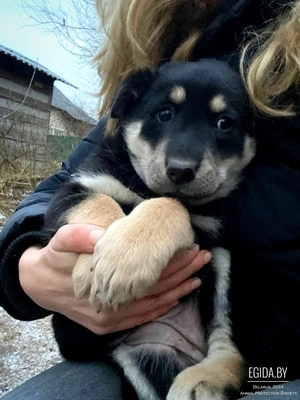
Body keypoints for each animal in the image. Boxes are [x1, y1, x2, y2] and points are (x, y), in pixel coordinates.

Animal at [43, 59, 255, 400]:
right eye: (164, 114)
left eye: (224, 123)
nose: (180, 170)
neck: (141, 184)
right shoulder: (77, 187)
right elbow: (100, 201)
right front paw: (96, 266)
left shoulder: (207, 228)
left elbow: (170, 204)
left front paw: (122, 260)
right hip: (138, 355)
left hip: (224, 263)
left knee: (228, 344)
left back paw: (203, 381)